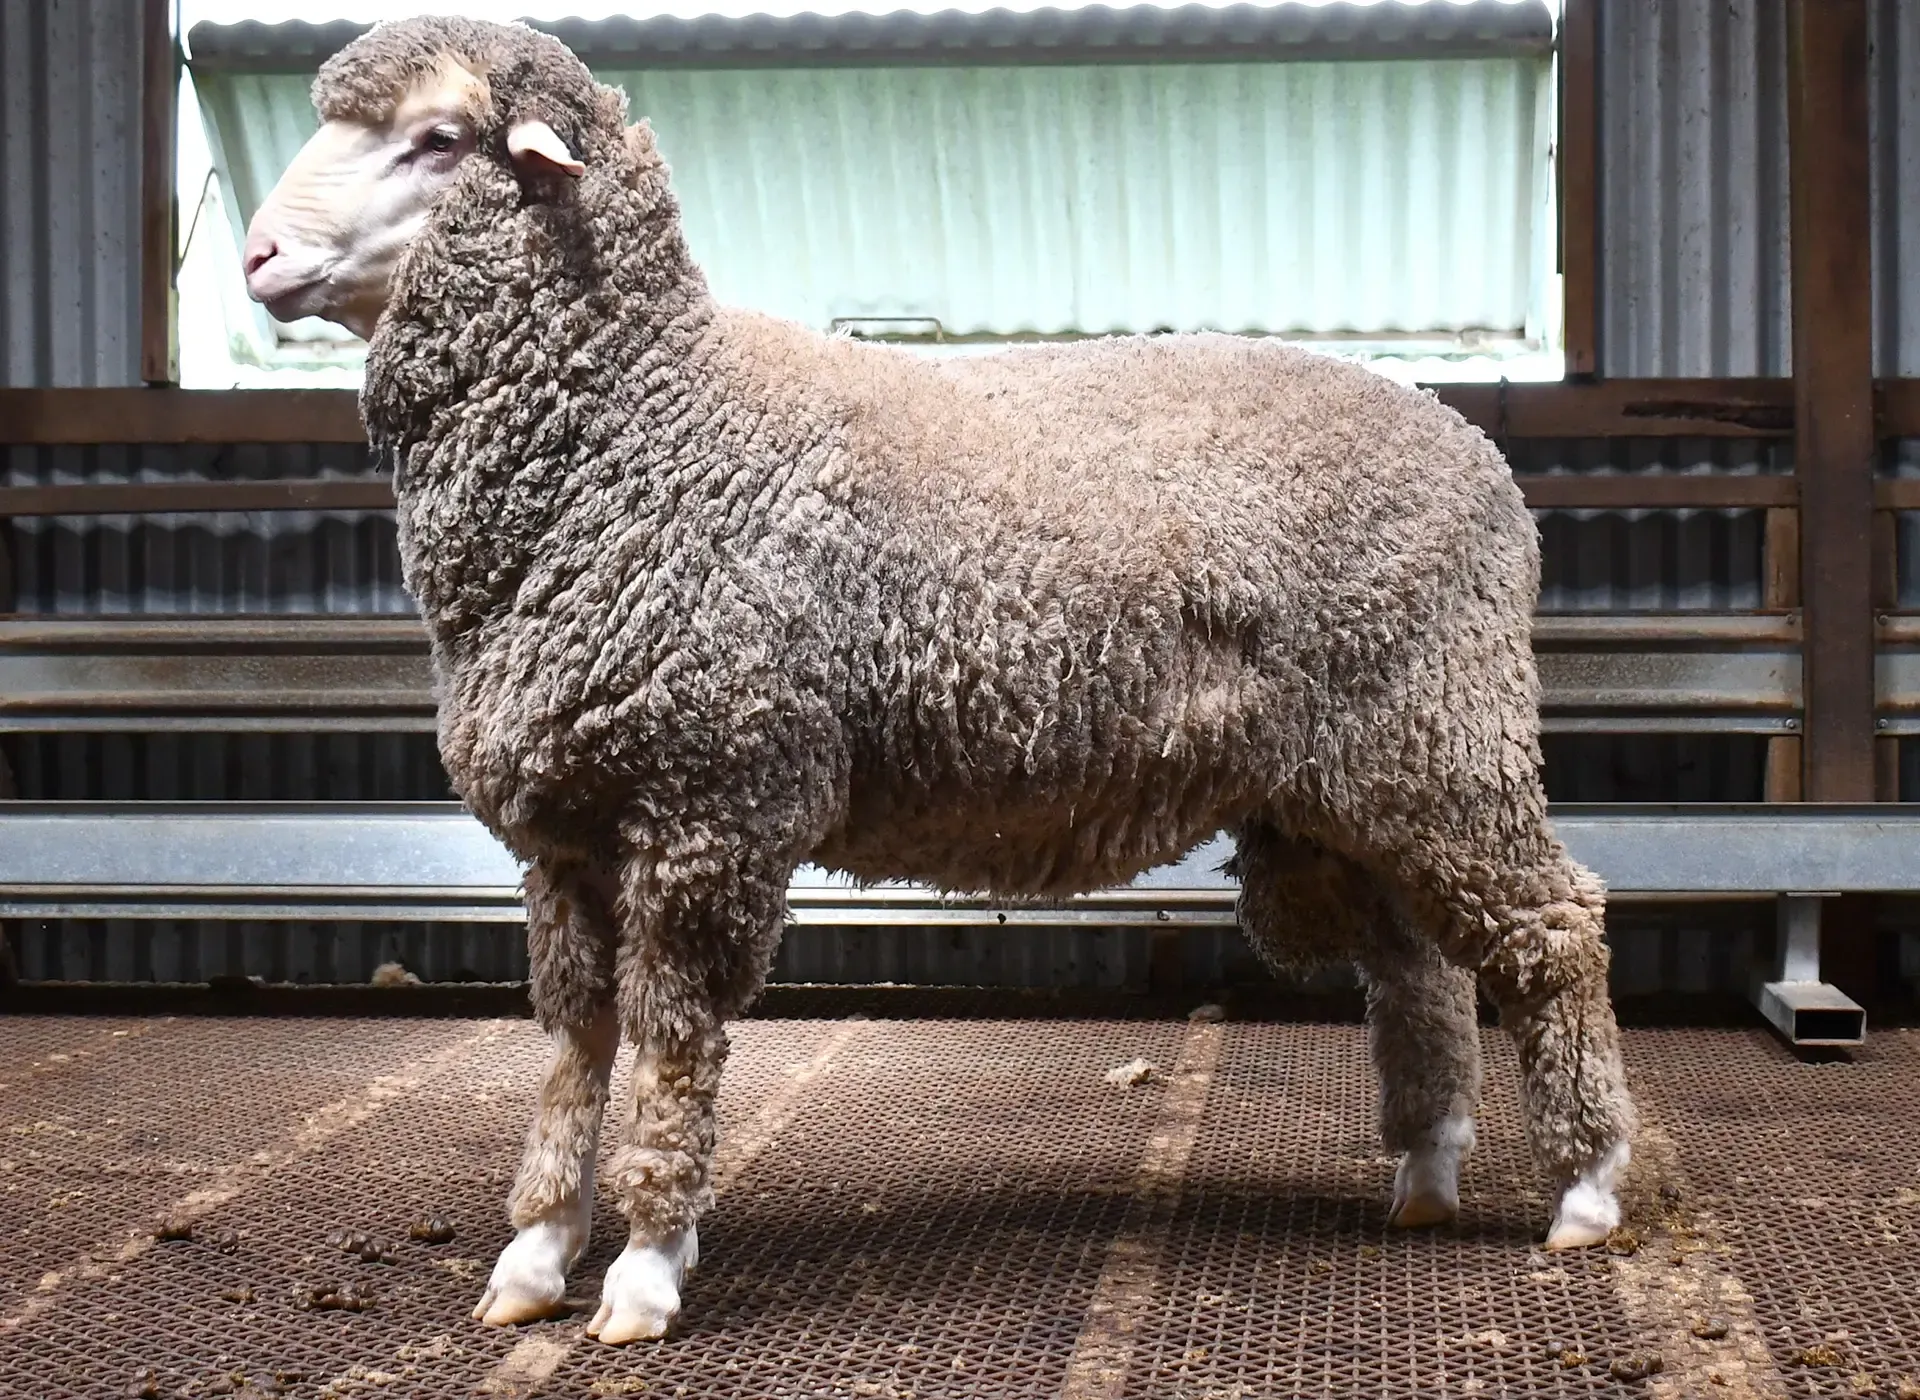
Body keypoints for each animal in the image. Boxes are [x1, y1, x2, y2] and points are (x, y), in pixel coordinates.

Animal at [241, 15, 1639, 1346]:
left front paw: (642, 1263)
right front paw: (537, 1251)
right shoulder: (570, 826)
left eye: (436, 139)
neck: (649, 421)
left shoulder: (710, 800)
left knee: (1555, 927)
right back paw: (1426, 1170)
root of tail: (1476, 454)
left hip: (1445, 737)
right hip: (1347, 793)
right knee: (1419, 964)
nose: (255, 255)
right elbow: (578, 1040)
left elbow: (673, 1039)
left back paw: (1587, 1185)